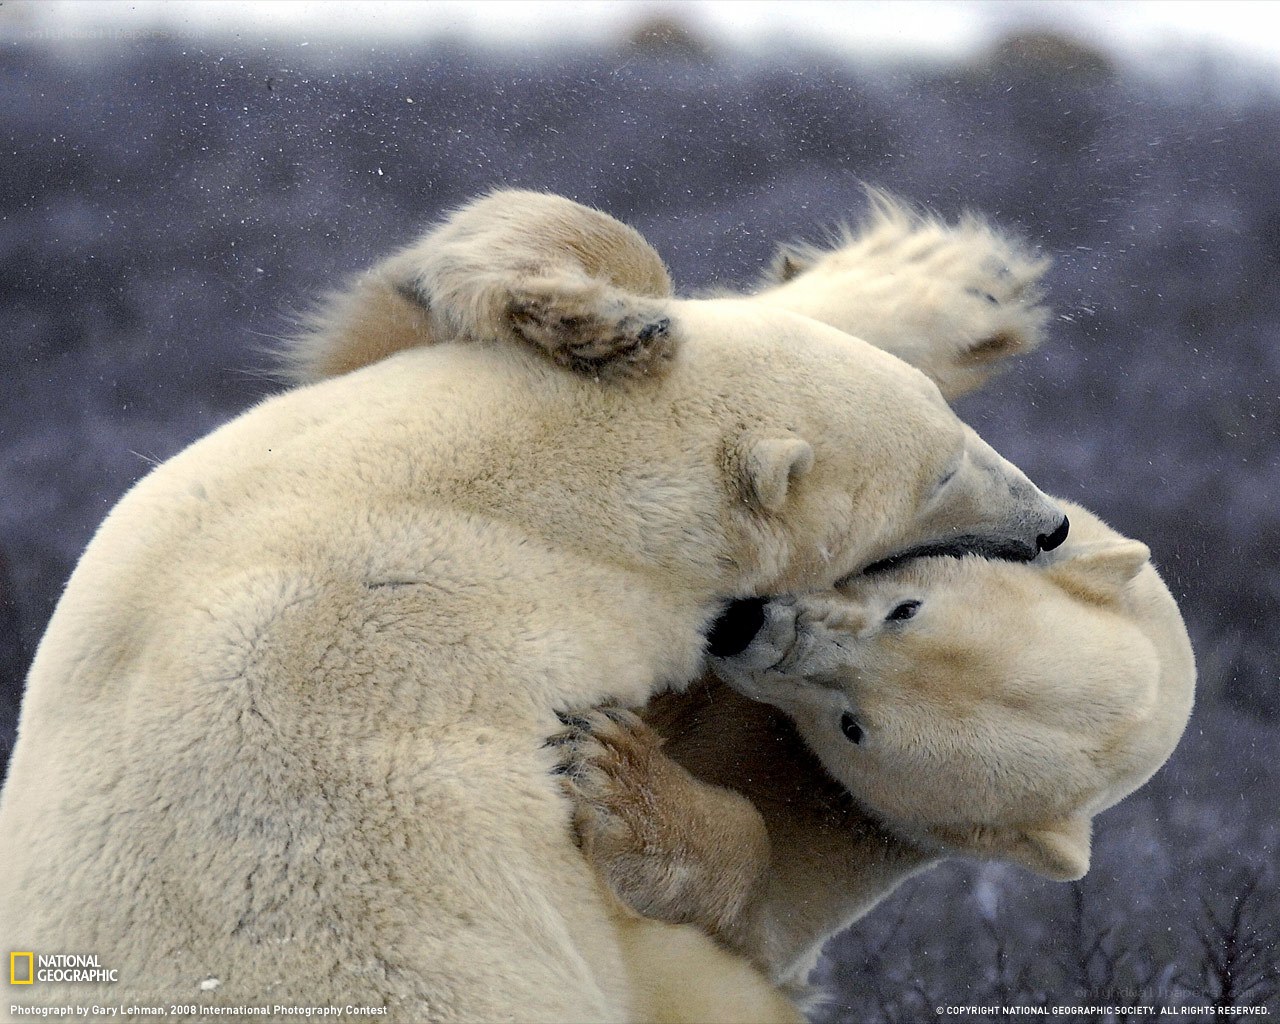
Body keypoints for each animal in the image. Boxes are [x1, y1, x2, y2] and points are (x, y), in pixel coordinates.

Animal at [559, 509, 1195, 998]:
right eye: (905, 609)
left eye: (853, 728)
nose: (745, 626)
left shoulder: (864, 826)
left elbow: (756, 932)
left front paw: (611, 770)